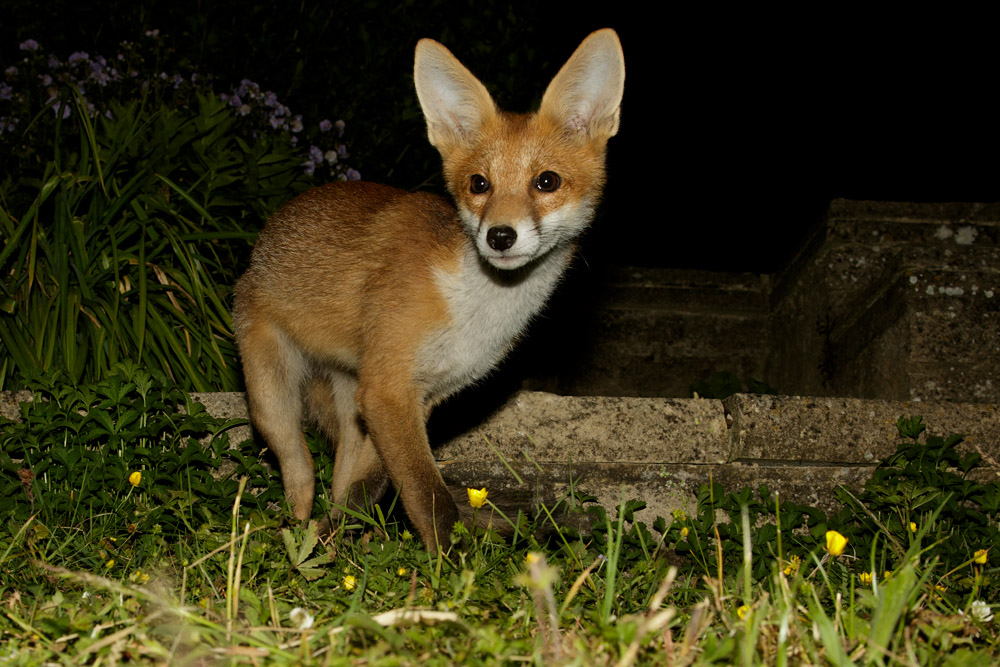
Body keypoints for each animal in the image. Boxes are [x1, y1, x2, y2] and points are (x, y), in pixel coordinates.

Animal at [232, 29, 625, 553]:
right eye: (479, 184)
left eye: (547, 181)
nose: (500, 236)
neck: (474, 308)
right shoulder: (388, 392)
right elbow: (430, 498)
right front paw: (452, 567)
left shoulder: (419, 396)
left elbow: (371, 489)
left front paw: (345, 540)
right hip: (272, 401)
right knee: (300, 472)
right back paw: (293, 539)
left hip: (351, 403)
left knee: (340, 480)